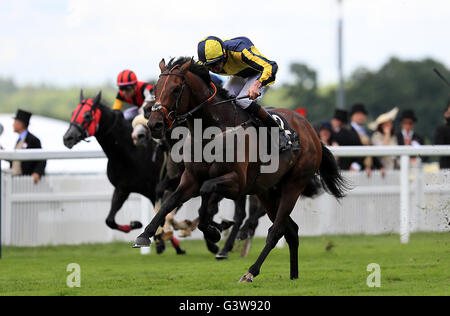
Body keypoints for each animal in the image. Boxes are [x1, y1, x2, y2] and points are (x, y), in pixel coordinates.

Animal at [61, 90, 185, 254]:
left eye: (87, 115)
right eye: (73, 113)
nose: (67, 138)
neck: (130, 153)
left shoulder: (155, 191)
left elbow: (162, 212)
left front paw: (164, 239)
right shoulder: (122, 188)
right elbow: (110, 220)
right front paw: (134, 224)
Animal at [134, 57, 348, 282]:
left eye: (176, 89)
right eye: (156, 88)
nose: (155, 125)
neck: (213, 131)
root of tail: (311, 131)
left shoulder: (236, 183)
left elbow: (207, 193)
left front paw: (213, 232)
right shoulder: (190, 179)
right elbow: (169, 203)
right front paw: (145, 235)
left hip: (294, 185)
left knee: (276, 230)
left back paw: (250, 271)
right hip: (267, 191)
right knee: (291, 230)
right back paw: (293, 275)